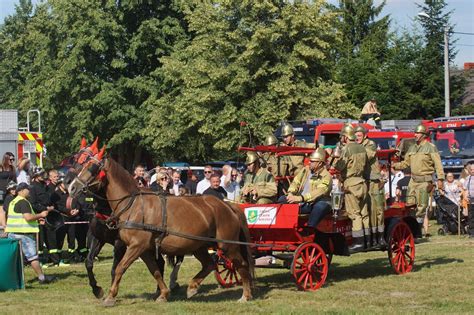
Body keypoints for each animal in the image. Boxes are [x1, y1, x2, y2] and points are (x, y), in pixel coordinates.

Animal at [68, 151, 254, 308]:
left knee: (241, 264)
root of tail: (228, 206)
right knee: (210, 264)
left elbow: (120, 268)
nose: (71, 187)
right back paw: (192, 287)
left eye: (92, 167)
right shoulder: (144, 249)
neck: (133, 205)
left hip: (228, 245)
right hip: (199, 246)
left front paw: (110, 296)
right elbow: (155, 270)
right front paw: (163, 294)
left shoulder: (135, 246)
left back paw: (245, 295)